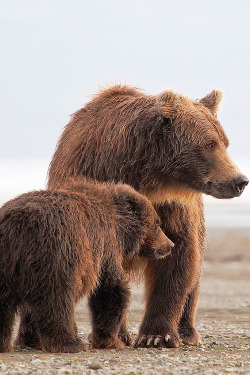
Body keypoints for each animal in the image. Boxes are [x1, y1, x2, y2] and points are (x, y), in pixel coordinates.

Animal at [18, 85, 247, 350]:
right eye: (209, 144)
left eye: (224, 142)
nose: (240, 180)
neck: (146, 176)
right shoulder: (93, 179)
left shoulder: (171, 206)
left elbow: (177, 259)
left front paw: (156, 335)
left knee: (194, 269)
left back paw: (187, 331)